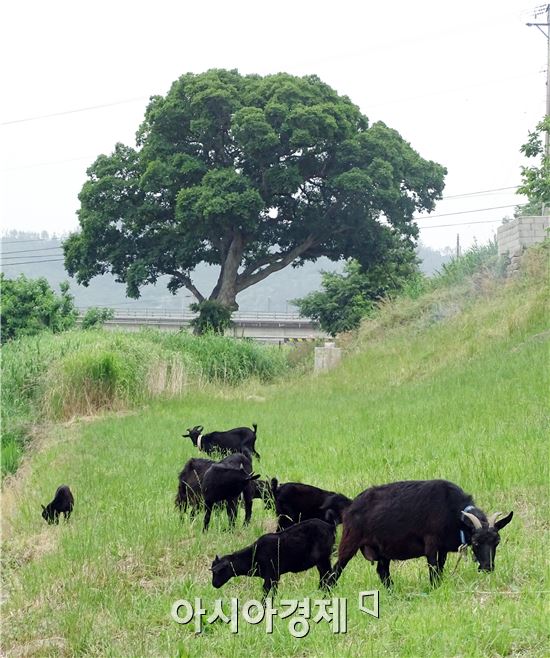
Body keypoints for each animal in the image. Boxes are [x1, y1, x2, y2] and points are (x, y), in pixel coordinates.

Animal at [330, 474, 516, 588]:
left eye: (497, 542)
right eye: (476, 542)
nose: (488, 567)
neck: (453, 512)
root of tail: (350, 506)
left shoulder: (442, 548)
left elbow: (440, 569)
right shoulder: (431, 543)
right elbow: (433, 569)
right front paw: (434, 589)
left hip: (382, 551)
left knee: (383, 572)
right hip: (349, 541)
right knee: (336, 570)